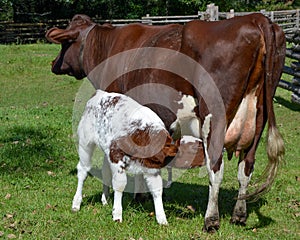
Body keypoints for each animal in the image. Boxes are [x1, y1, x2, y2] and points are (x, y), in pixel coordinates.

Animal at [45, 13, 284, 232]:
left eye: (65, 43)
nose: (53, 64)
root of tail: (255, 18)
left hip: (214, 120)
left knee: (216, 169)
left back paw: (211, 220)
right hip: (258, 121)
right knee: (246, 168)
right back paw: (239, 215)